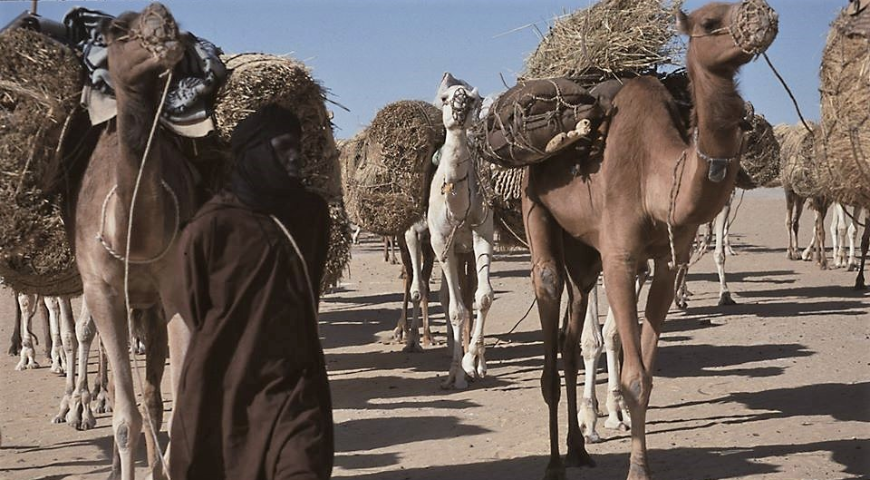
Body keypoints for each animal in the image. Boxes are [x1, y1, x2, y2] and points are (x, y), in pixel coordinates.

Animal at [520, 1, 780, 478]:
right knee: (548, 299)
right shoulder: (621, 259)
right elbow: (635, 377)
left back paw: (579, 450)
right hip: (537, 207)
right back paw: (554, 465)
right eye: (709, 23)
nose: (764, 16)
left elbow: (647, 371)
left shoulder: (666, 261)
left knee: (571, 329)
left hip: (584, 251)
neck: (657, 177)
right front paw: (637, 469)